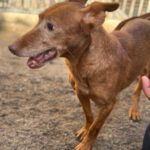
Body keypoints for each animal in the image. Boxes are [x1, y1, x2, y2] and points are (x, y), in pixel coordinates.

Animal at [8, 0, 150, 149]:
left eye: (50, 26)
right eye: (38, 19)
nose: (11, 47)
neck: (85, 63)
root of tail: (144, 20)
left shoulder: (109, 104)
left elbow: (96, 127)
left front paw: (86, 144)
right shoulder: (80, 93)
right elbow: (89, 115)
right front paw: (85, 130)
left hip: (146, 72)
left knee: (138, 89)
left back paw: (134, 110)